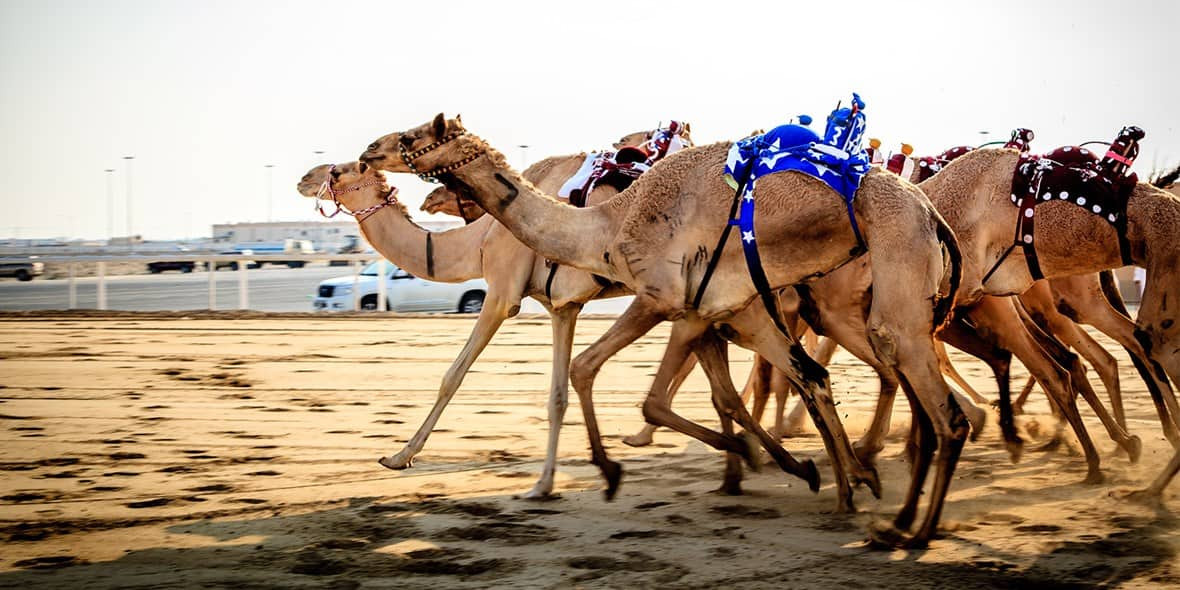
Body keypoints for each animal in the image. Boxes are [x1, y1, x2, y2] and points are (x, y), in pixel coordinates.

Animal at [361, 111, 967, 547]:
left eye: (413, 134)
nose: (367, 151)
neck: (608, 224)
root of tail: (931, 213)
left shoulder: (669, 300)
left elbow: (603, 378)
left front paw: (611, 471)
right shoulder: (724, 308)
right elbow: (754, 388)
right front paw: (794, 469)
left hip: (889, 287)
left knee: (936, 404)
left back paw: (910, 528)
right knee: (854, 379)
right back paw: (871, 493)